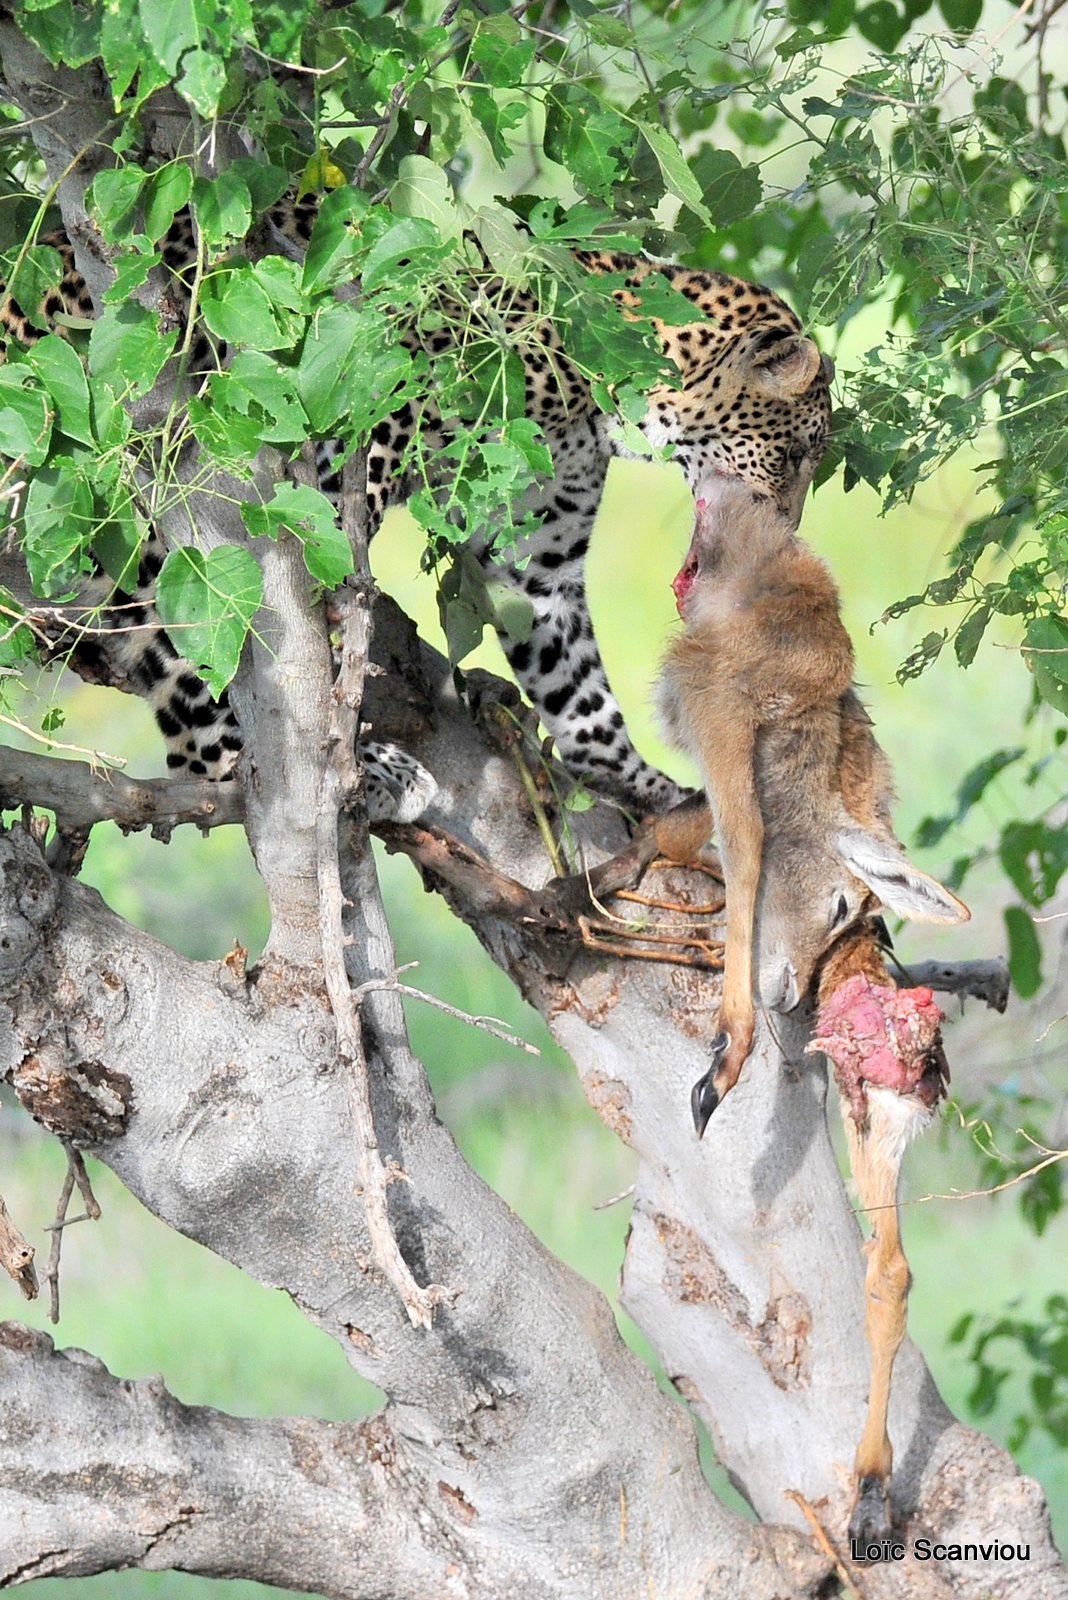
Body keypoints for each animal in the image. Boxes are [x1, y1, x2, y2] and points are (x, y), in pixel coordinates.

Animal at [0, 193, 831, 825]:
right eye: (796, 453)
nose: (788, 527)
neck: (590, 403)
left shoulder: (541, 562)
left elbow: (578, 685)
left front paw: (643, 783)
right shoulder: (342, 461)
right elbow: (323, 603)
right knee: (199, 693)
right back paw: (355, 768)